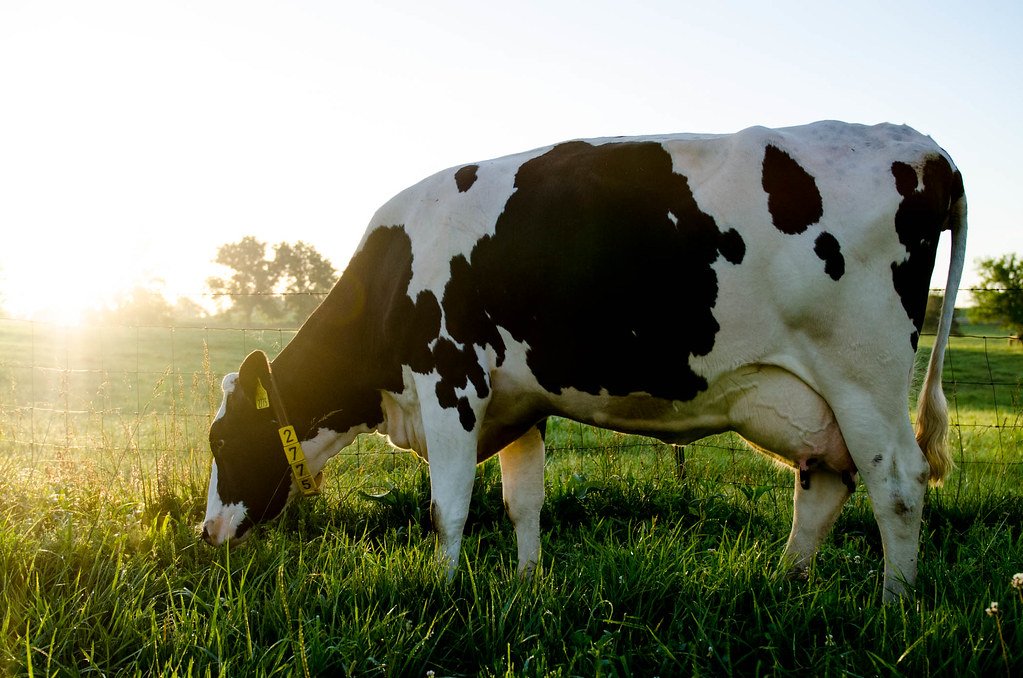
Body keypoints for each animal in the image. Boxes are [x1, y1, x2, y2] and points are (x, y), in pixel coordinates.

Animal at [202, 120, 966, 601]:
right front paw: (527, 586)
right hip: (817, 399)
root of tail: (919, 146)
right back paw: (787, 586)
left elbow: (447, 508)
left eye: (221, 441)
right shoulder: (518, 401)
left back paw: (893, 602)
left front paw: (443, 592)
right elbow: (522, 502)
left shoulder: (451, 381)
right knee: (824, 483)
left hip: (862, 373)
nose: (206, 532)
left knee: (897, 483)